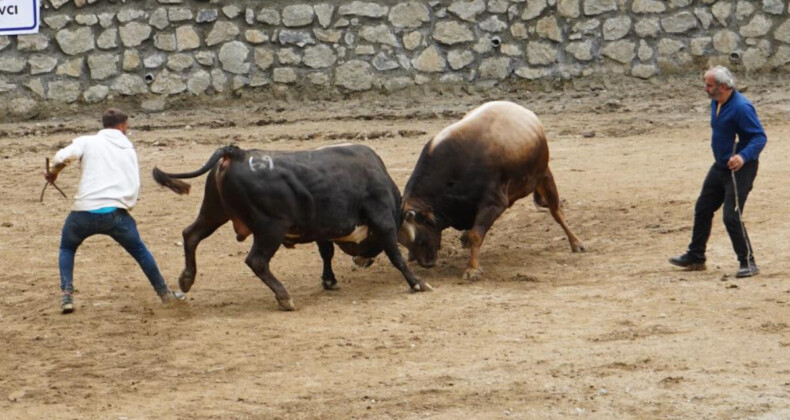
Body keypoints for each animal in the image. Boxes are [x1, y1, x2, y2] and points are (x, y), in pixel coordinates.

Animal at [151, 144, 430, 312]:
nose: (361, 261)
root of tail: (236, 153)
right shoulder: (382, 219)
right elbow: (395, 254)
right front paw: (417, 283)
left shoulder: (323, 228)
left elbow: (326, 253)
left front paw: (329, 280)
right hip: (270, 228)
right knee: (257, 261)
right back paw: (284, 297)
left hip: (213, 212)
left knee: (191, 235)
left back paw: (186, 279)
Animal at [400, 100, 584, 278]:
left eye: (420, 238)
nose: (426, 263)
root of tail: (527, 114)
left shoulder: (494, 203)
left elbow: (476, 235)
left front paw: (472, 269)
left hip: (544, 174)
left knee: (556, 211)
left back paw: (576, 243)